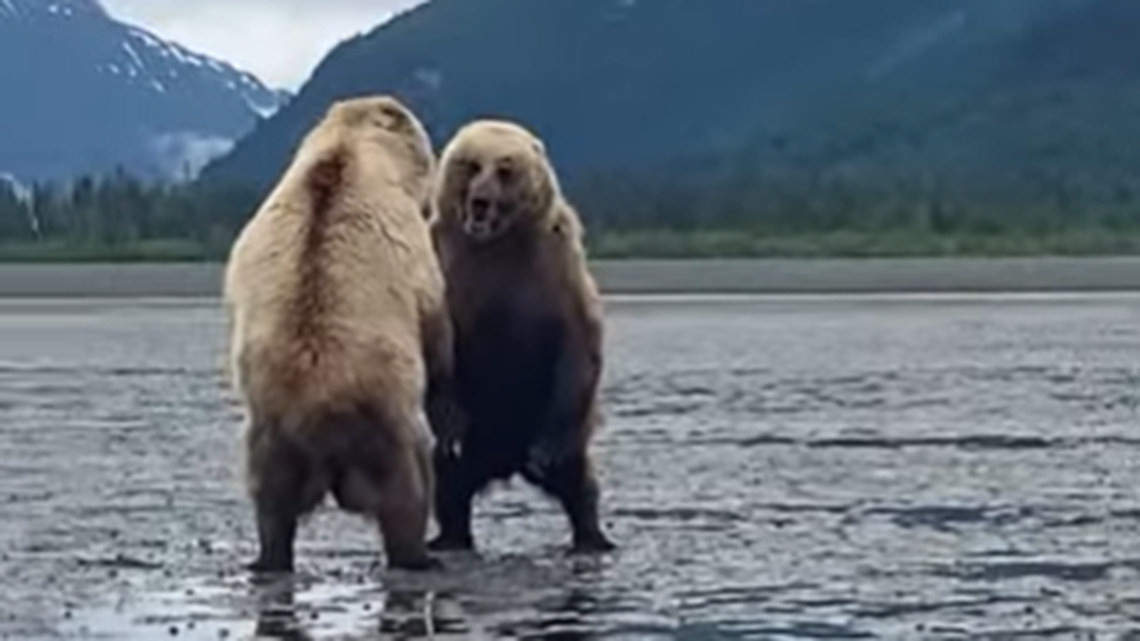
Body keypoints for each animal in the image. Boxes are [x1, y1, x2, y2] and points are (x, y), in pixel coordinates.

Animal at [221, 94, 462, 573]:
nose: (439, 151)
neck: (349, 146)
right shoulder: (412, 255)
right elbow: (437, 337)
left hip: (271, 437)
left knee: (271, 505)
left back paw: (267, 558)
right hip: (387, 423)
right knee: (407, 489)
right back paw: (418, 555)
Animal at [426, 118, 616, 554]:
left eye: (505, 169)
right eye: (470, 164)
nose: (480, 202)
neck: (497, 247)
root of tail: (504, 461)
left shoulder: (554, 272)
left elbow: (578, 347)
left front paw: (548, 453)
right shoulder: (447, 275)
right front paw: (451, 427)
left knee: (579, 482)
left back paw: (593, 537)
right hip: (476, 441)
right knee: (449, 483)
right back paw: (448, 537)